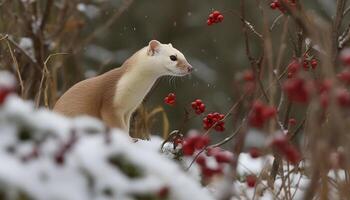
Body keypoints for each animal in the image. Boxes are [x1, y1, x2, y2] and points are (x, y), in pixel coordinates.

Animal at [53, 39, 193, 133]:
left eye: (184, 55)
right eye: (173, 57)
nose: (190, 67)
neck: (136, 92)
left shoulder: (129, 110)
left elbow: (126, 128)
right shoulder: (110, 104)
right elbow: (117, 126)